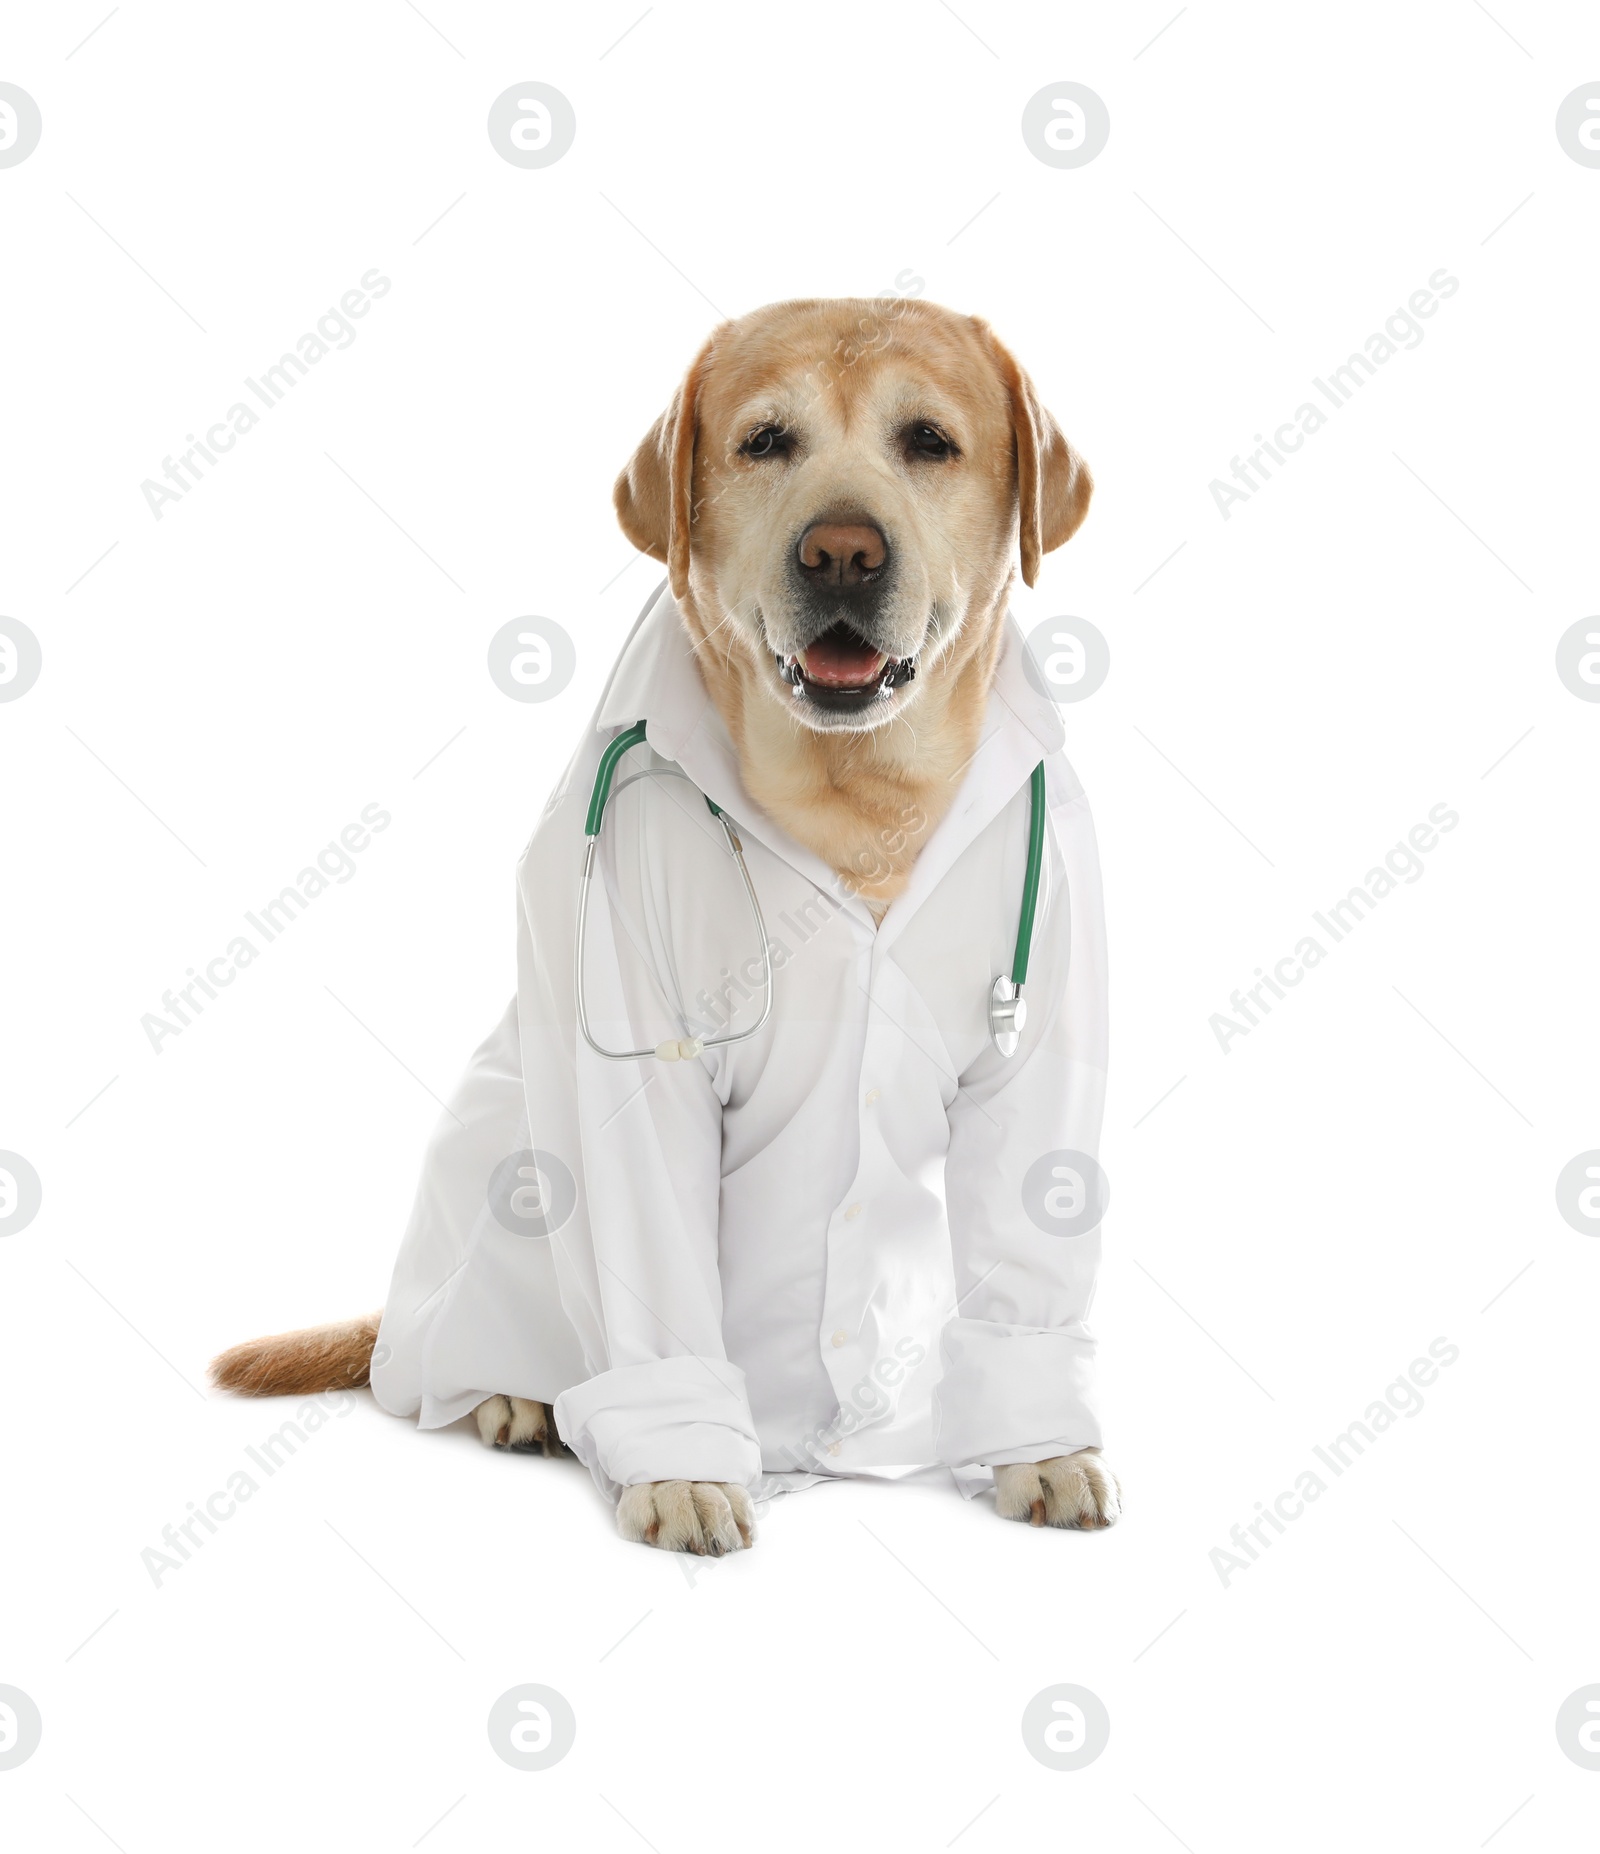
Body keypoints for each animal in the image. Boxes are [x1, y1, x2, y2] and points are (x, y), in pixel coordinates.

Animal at [213, 300, 1119, 1549]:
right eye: (764, 442)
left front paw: (1042, 1452)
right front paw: (684, 1474)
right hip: (507, 1158)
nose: (841, 552)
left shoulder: (1043, 1058)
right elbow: (655, 1275)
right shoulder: (634, 1066)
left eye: (929, 441)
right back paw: (515, 1401)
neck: (856, 796)